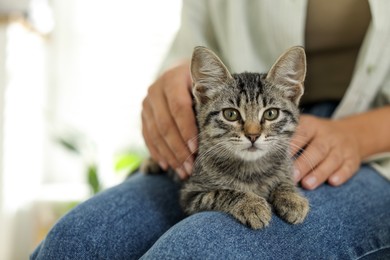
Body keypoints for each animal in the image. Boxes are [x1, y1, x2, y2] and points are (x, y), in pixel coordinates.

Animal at [142, 45, 310, 229]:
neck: (251, 169)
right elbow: (222, 193)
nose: (253, 135)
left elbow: (285, 180)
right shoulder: (191, 195)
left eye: (271, 113)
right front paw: (251, 204)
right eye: (230, 114)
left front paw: (291, 197)